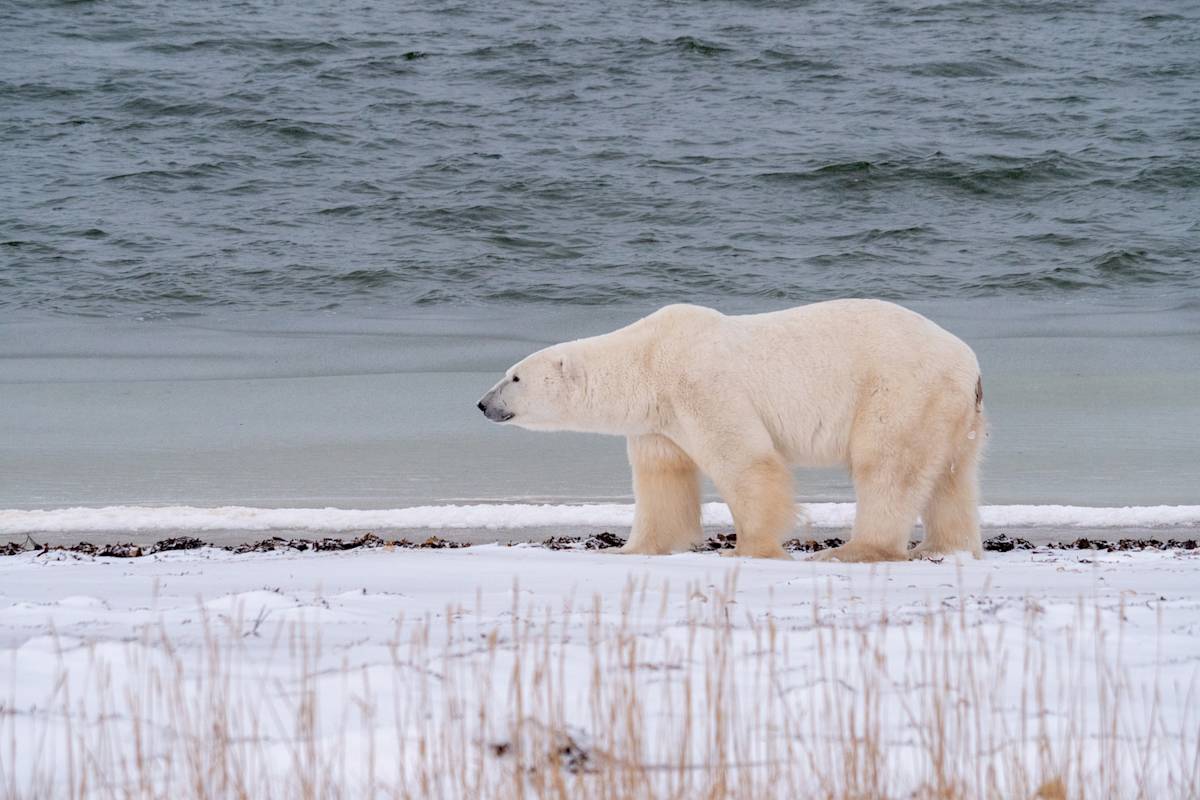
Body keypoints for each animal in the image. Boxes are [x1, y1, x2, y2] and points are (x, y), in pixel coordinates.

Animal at [477, 299, 986, 562]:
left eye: (514, 377)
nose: (483, 404)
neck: (648, 358)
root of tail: (970, 365)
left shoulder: (701, 384)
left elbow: (746, 461)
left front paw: (748, 549)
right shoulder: (658, 422)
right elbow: (662, 482)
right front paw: (631, 550)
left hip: (900, 390)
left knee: (887, 465)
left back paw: (854, 550)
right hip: (951, 412)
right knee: (951, 478)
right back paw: (946, 545)